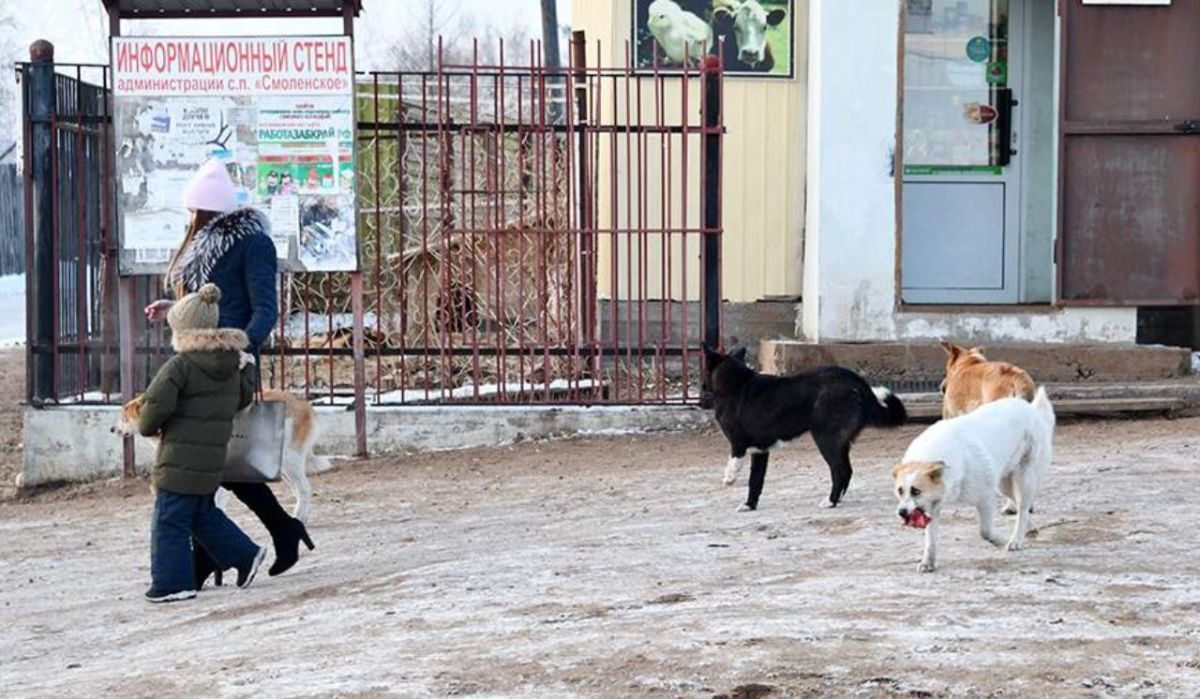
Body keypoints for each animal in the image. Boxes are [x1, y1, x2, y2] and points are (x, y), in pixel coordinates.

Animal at [112, 381, 328, 523]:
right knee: (299, 490)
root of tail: (304, 404)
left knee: (305, 489)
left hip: (289, 461)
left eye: (124, 417)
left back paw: (299, 518)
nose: (112, 429)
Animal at [700, 348, 902, 511]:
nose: (701, 394)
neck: (735, 384)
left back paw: (830, 501)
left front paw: (729, 479)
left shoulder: (738, 443)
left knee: (840, 470)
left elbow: (733, 464)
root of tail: (857, 382)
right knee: (847, 471)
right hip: (839, 443)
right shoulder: (760, 450)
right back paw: (837, 500)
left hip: (826, 439)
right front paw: (750, 505)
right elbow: (755, 481)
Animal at [892, 389, 1051, 576]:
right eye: (900, 491)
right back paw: (1029, 529)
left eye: (916, 491)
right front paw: (928, 563)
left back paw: (1015, 540)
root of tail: (1030, 409)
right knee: (1020, 507)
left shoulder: (986, 498)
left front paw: (1001, 540)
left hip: (1023, 479)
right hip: (1003, 484)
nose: (901, 512)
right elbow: (930, 542)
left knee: (1024, 508)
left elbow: (985, 532)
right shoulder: (932, 507)